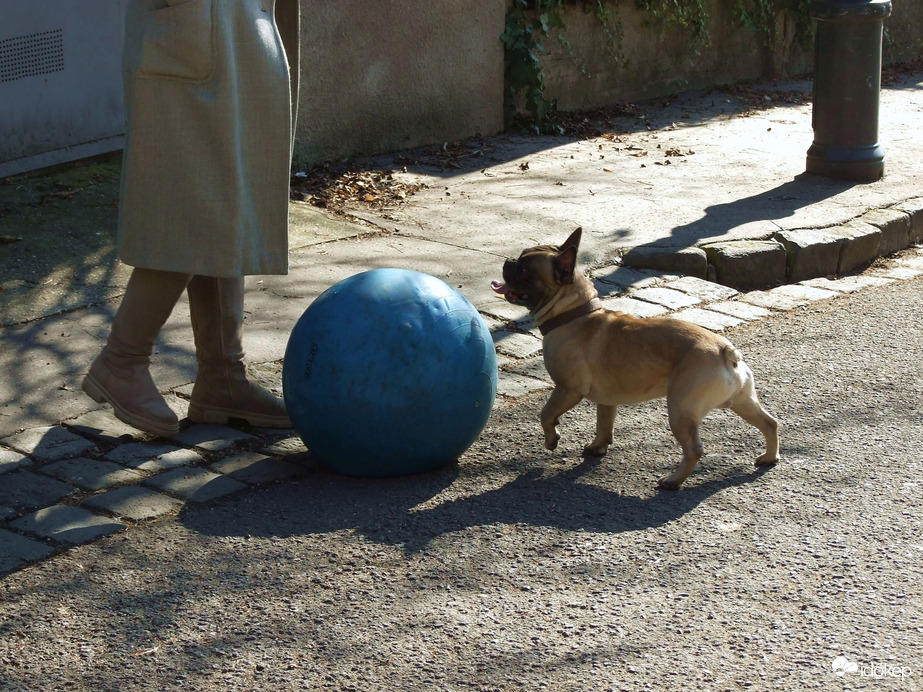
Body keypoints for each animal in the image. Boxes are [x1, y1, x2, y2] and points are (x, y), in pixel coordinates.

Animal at [490, 227, 780, 486]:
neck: (574, 313)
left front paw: (552, 440)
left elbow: (546, 414)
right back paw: (769, 457)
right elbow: (604, 424)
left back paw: (672, 481)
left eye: (523, 269)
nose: (508, 261)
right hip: (742, 401)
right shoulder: (606, 399)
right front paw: (598, 448)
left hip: (680, 410)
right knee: (769, 423)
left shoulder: (567, 390)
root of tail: (725, 351)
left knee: (694, 449)